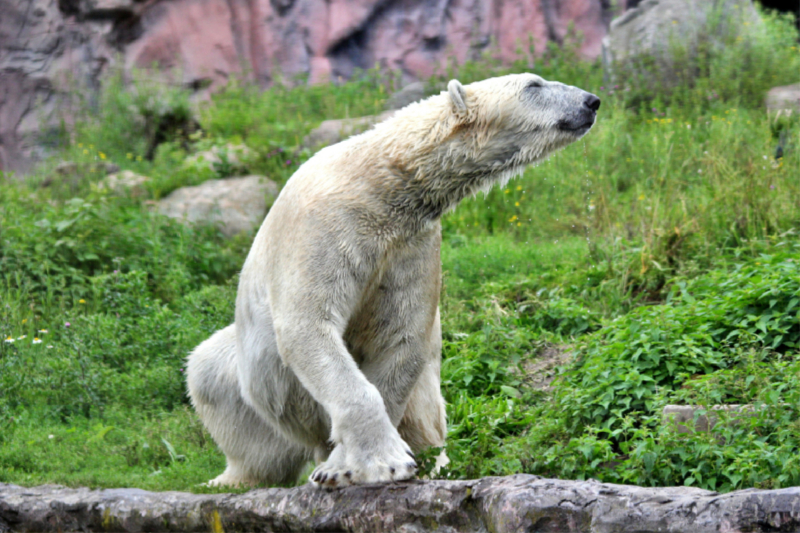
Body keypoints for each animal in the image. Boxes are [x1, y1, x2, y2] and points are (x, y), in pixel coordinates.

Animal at [189, 72, 600, 488]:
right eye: (534, 85)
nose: (591, 101)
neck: (385, 178)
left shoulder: (411, 244)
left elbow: (400, 336)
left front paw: (346, 465)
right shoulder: (325, 225)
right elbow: (307, 322)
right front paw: (382, 463)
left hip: (424, 404)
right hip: (253, 382)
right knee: (213, 375)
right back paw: (232, 479)